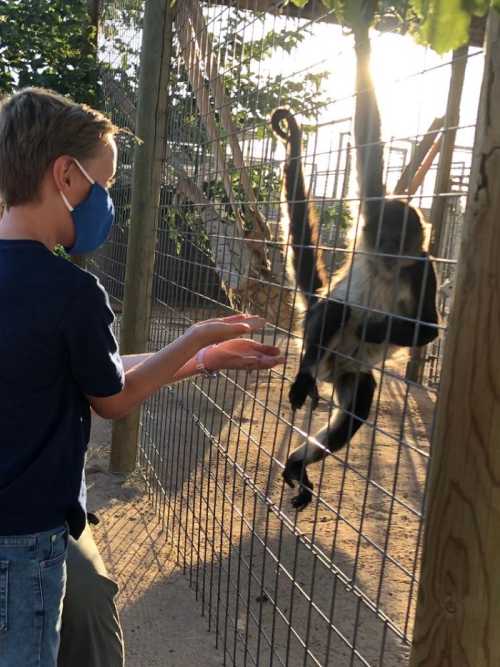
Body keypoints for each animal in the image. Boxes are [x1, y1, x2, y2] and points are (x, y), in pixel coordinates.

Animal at [272, 22, 440, 512]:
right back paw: (305, 376)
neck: (386, 267)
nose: (383, 247)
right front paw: (363, 37)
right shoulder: (371, 209)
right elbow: (367, 139)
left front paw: (374, 327)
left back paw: (298, 463)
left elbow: (428, 329)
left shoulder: (420, 265)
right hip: (324, 351)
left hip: (349, 371)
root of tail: (330, 371)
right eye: (380, 235)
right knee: (333, 309)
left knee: (360, 399)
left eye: (397, 241)